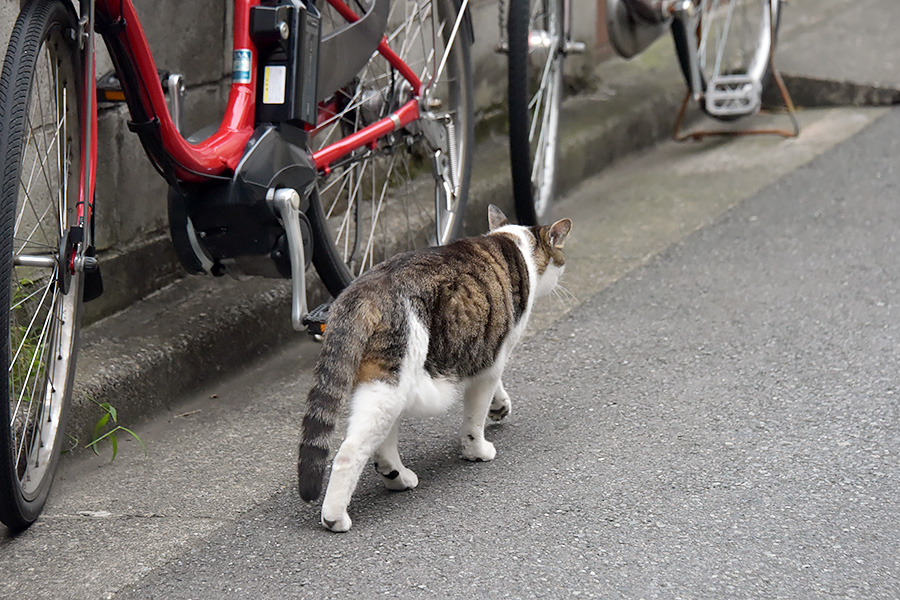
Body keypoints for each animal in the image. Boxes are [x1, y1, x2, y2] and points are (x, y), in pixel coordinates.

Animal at [298, 205, 572, 528]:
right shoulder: (492, 360)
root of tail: (361, 292)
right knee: (349, 452)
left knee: (382, 444)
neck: (515, 245)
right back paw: (335, 518)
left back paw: (397, 477)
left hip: (383, 382)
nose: (561, 275)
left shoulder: (484, 351)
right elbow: (474, 419)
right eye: (560, 260)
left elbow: (494, 388)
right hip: (393, 384)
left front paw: (500, 405)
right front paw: (477, 451)